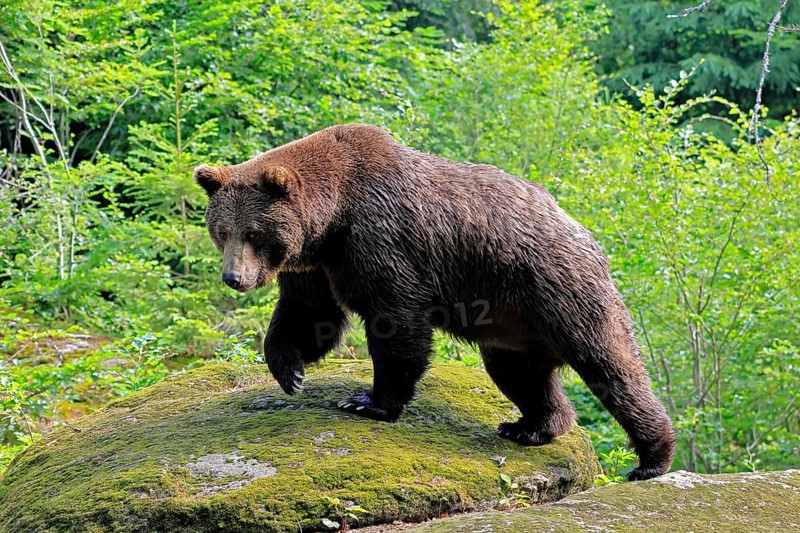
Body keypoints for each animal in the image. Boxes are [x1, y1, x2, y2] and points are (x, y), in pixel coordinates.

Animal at [195, 123, 676, 481]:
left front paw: (369, 402)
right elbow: (310, 315)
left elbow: (396, 323)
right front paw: (289, 371)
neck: (333, 219)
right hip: (511, 327)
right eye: (222, 230)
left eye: (253, 232)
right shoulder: (321, 265)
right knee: (520, 375)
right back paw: (531, 426)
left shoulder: (382, 241)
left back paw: (651, 458)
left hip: (560, 291)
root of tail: (586, 235)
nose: (233, 277)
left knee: (612, 367)